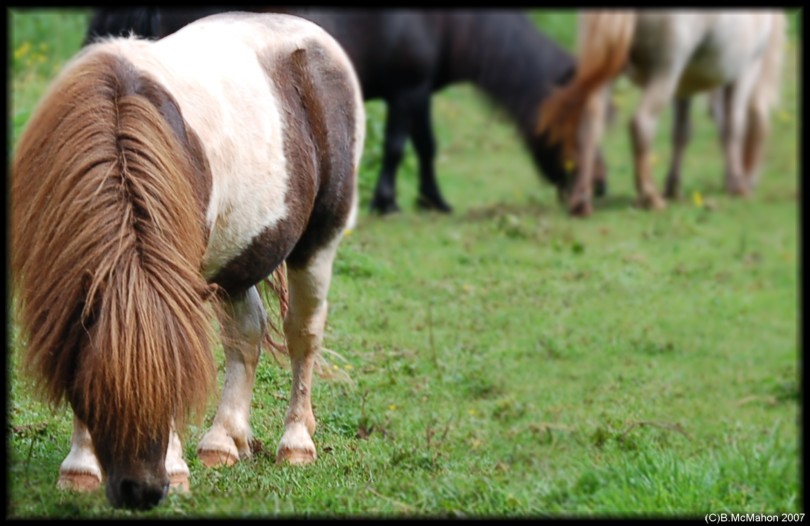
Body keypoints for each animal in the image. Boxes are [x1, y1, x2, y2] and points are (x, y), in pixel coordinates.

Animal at [8, 12, 362, 512]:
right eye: (98, 390)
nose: (142, 491)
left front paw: (175, 469)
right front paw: (79, 468)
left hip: (317, 245)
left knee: (303, 336)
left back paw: (295, 445)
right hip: (237, 260)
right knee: (246, 334)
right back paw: (222, 443)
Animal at [85, 7, 608, 216]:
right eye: (587, 125)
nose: (599, 188)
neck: (448, 21)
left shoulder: (418, 92)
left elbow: (426, 146)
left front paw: (433, 200)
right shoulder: (407, 91)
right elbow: (398, 147)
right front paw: (387, 202)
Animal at [536, 10, 784, 217]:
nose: (752, 182)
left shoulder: (685, 87)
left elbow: (682, 133)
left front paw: (673, 187)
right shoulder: (745, 72)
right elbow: (733, 127)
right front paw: (737, 185)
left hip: (609, 70)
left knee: (590, 126)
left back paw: (581, 201)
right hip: (666, 71)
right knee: (641, 123)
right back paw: (650, 197)